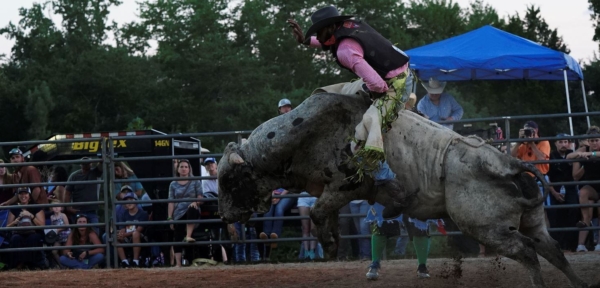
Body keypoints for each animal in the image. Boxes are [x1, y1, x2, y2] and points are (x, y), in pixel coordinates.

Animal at [217, 93, 584, 288]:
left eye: (228, 180)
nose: (224, 216)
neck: (301, 134)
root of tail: (506, 163)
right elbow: (328, 214)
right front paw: (333, 240)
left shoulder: (346, 185)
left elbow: (321, 211)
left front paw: (331, 244)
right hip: (531, 221)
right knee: (551, 249)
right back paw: (579, 283)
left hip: (486, 227)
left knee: (527, 252)